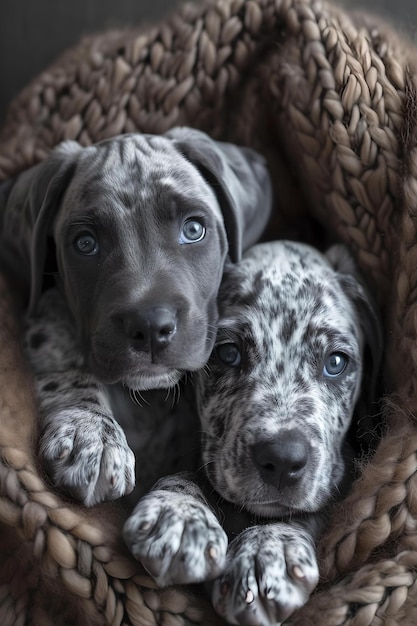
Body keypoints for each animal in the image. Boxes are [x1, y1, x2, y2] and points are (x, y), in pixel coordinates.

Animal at [121, 240, 380, 624]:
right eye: (228, 353)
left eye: (335, 362)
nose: (283, 460)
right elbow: (188, 473)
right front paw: (180, 514)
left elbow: (303, 511)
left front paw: (265, 550)